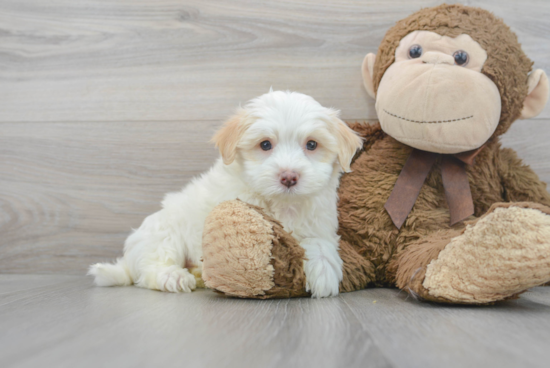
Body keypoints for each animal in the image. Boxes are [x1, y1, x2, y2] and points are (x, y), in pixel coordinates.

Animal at [90, 90, 364, 298]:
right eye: (265, 144)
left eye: (312, 144)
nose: (289, 177)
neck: (281, 204)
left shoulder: (319, 222)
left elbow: (319, 243)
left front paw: (324, 273)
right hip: (164, 234)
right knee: (151, 268)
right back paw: (174, 276)